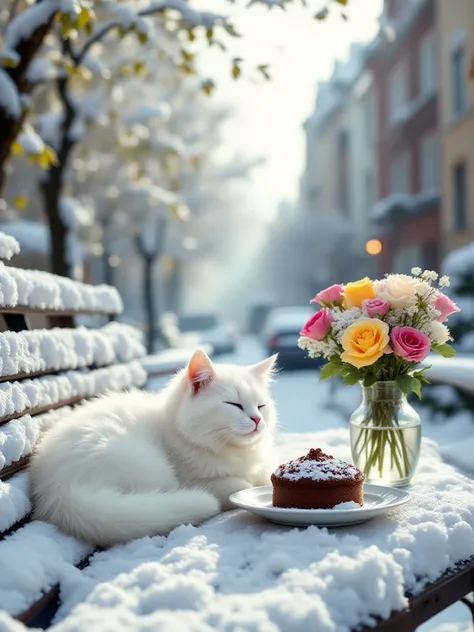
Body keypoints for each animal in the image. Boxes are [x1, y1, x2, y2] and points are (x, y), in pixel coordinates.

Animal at [29, 350, 278, 548]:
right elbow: (243, 484)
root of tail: (60, 492)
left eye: (261, 406)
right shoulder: (197, 480)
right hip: (150, 467)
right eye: (234, 405)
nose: (257, 419)